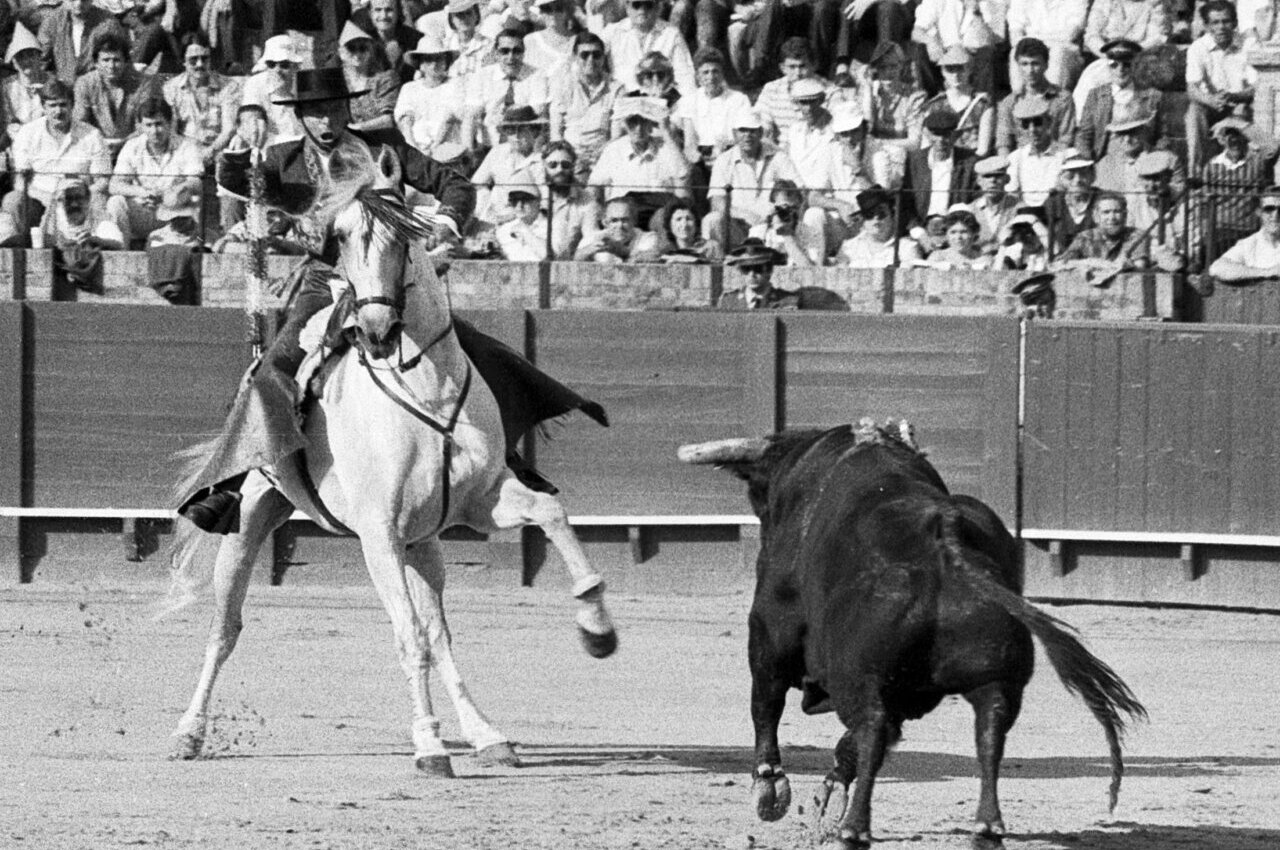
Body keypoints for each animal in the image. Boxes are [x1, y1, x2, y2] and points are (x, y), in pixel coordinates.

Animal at [166, 144, 618, 776]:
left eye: (405, 237)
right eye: (340, 238)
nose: (376, 329)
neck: (423, 385)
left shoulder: (480, 501)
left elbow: (550, 514)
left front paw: (596, 628)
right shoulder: (377, 532)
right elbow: (407, 635)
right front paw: (428, 744)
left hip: (423, 542)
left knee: (441, 632)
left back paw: (487, 734)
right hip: (255, 515)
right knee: (225, 628)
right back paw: (189, 732)